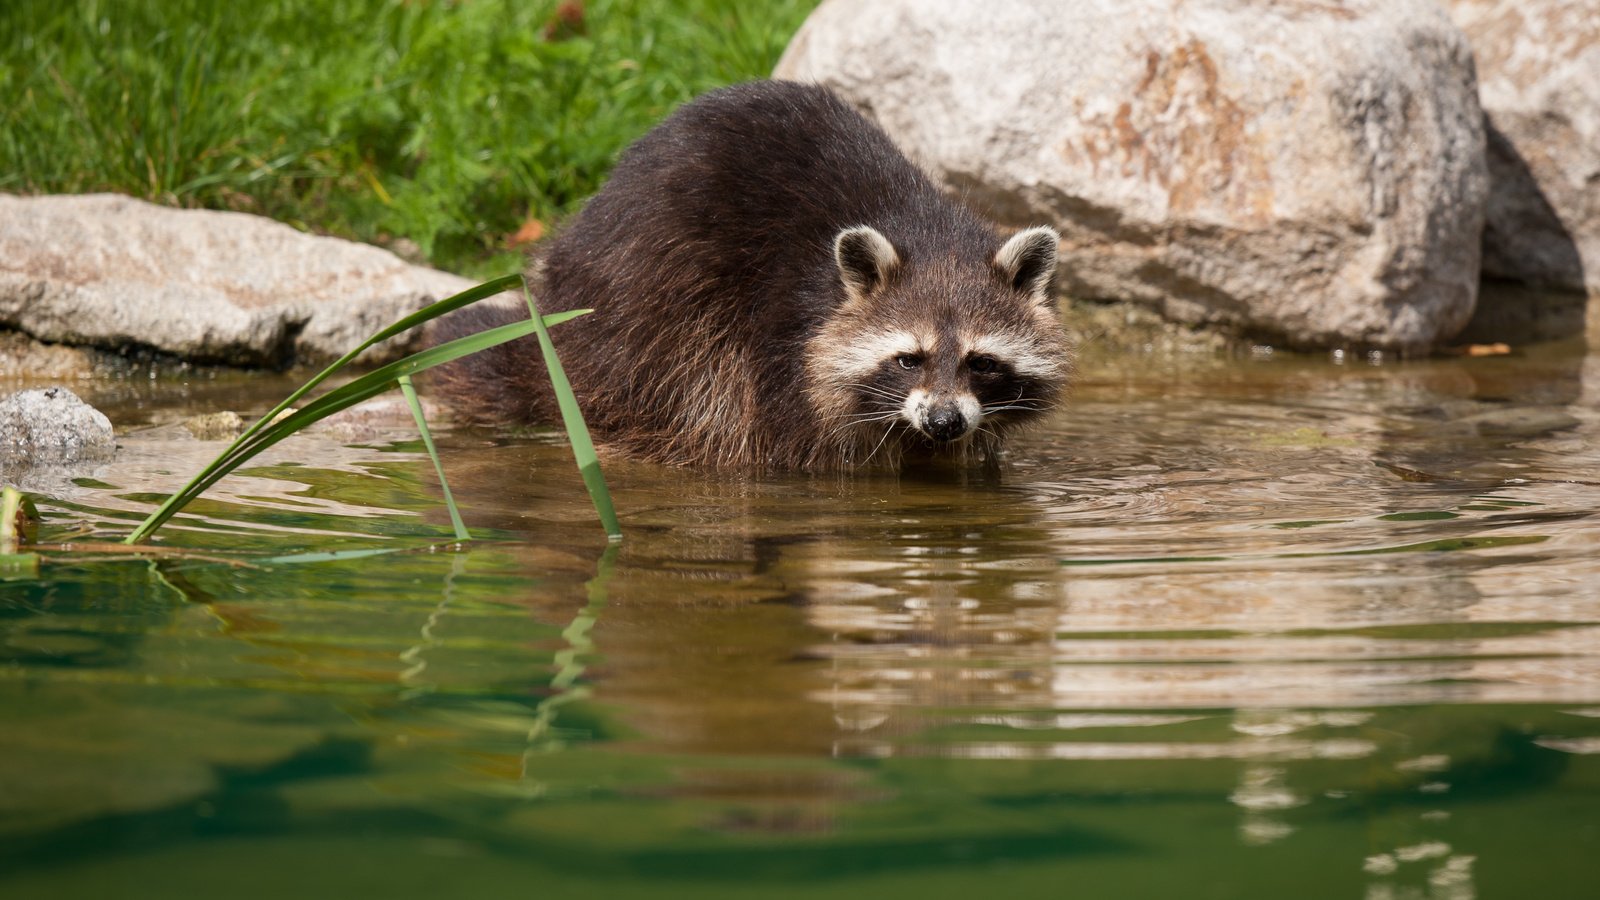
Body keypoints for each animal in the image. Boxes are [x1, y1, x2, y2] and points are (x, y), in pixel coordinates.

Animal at [432, 79, 1068, 470]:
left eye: (981, 362)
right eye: (909, 358)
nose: (942, 421)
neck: (933, 237)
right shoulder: (785, 342)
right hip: (644, 298)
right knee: (698, 396)